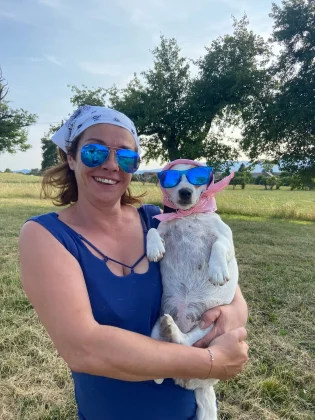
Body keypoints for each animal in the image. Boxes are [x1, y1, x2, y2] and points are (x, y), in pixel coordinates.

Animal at [147, 160, 238, 420]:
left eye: (197, 178)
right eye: (172, 180)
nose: (186, 192)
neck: (191, 215)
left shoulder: (225, 239)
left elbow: (219, 245)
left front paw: (217, 270)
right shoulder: (162, 230)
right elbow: (153, 231)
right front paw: (153, 248)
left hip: (210, 326)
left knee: (185, 343)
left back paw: (174, 332)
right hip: (155, 328)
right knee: (164, 361)